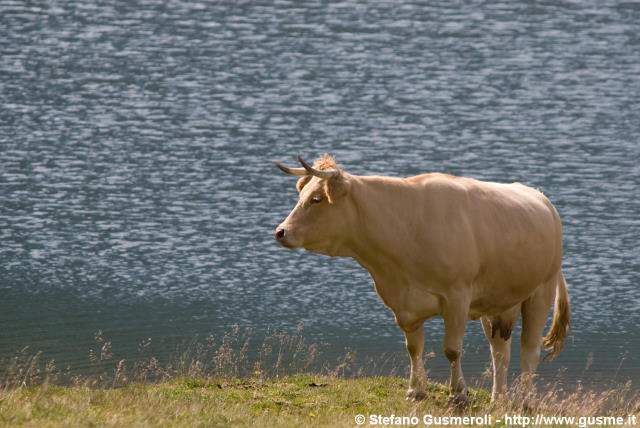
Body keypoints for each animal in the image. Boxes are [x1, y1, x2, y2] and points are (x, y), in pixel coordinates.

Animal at [272, 154, 568, 404]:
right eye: (302, 195)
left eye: (316, 199)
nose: (281, 232)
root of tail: (542, 200)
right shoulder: (404, 304)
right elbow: (413, 348)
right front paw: (416, 391)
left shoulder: (457, 297)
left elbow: (452, 349)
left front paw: (458, 395)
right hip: (498, 303)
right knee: (500, 352)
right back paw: (498, 398)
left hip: (541, 291)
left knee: (529, 350)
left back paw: (525, 401)